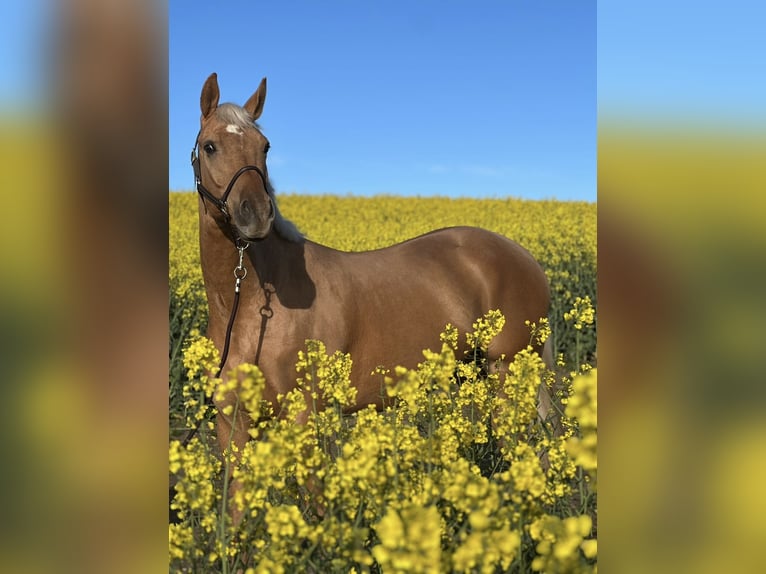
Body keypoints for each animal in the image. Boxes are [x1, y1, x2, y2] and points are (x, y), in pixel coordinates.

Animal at [192, 73, 557, 513]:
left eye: (265, 146)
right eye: (210, 146)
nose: (257, 215)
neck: (251, 311)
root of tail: (524, 256)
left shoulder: (304, 416)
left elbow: (317, 505)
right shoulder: (232, 423)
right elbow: (236, 513)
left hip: (508, 375)